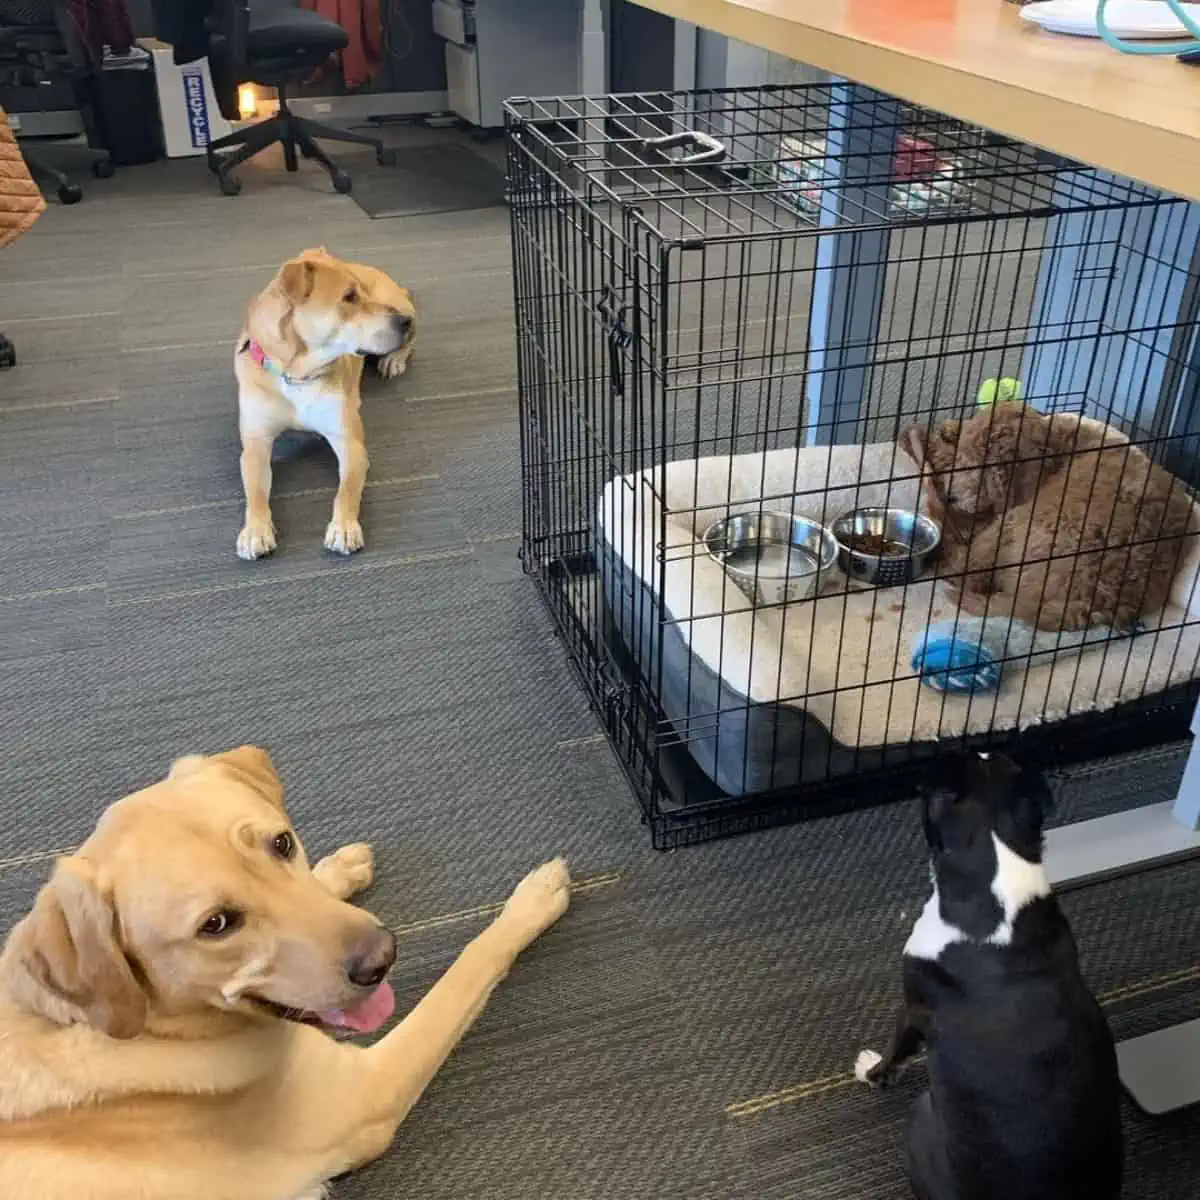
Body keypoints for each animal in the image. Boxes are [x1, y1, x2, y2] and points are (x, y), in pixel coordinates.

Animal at [234, 247, 417, 561]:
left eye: (361, 292)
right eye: (349, 297)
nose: (403, 321)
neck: (296, 374)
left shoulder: (349, 442)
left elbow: (346, 490)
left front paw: (344, 527)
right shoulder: (256, 443)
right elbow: (255, 490)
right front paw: (256, 529)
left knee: (410, 343)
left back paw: (394, 359)